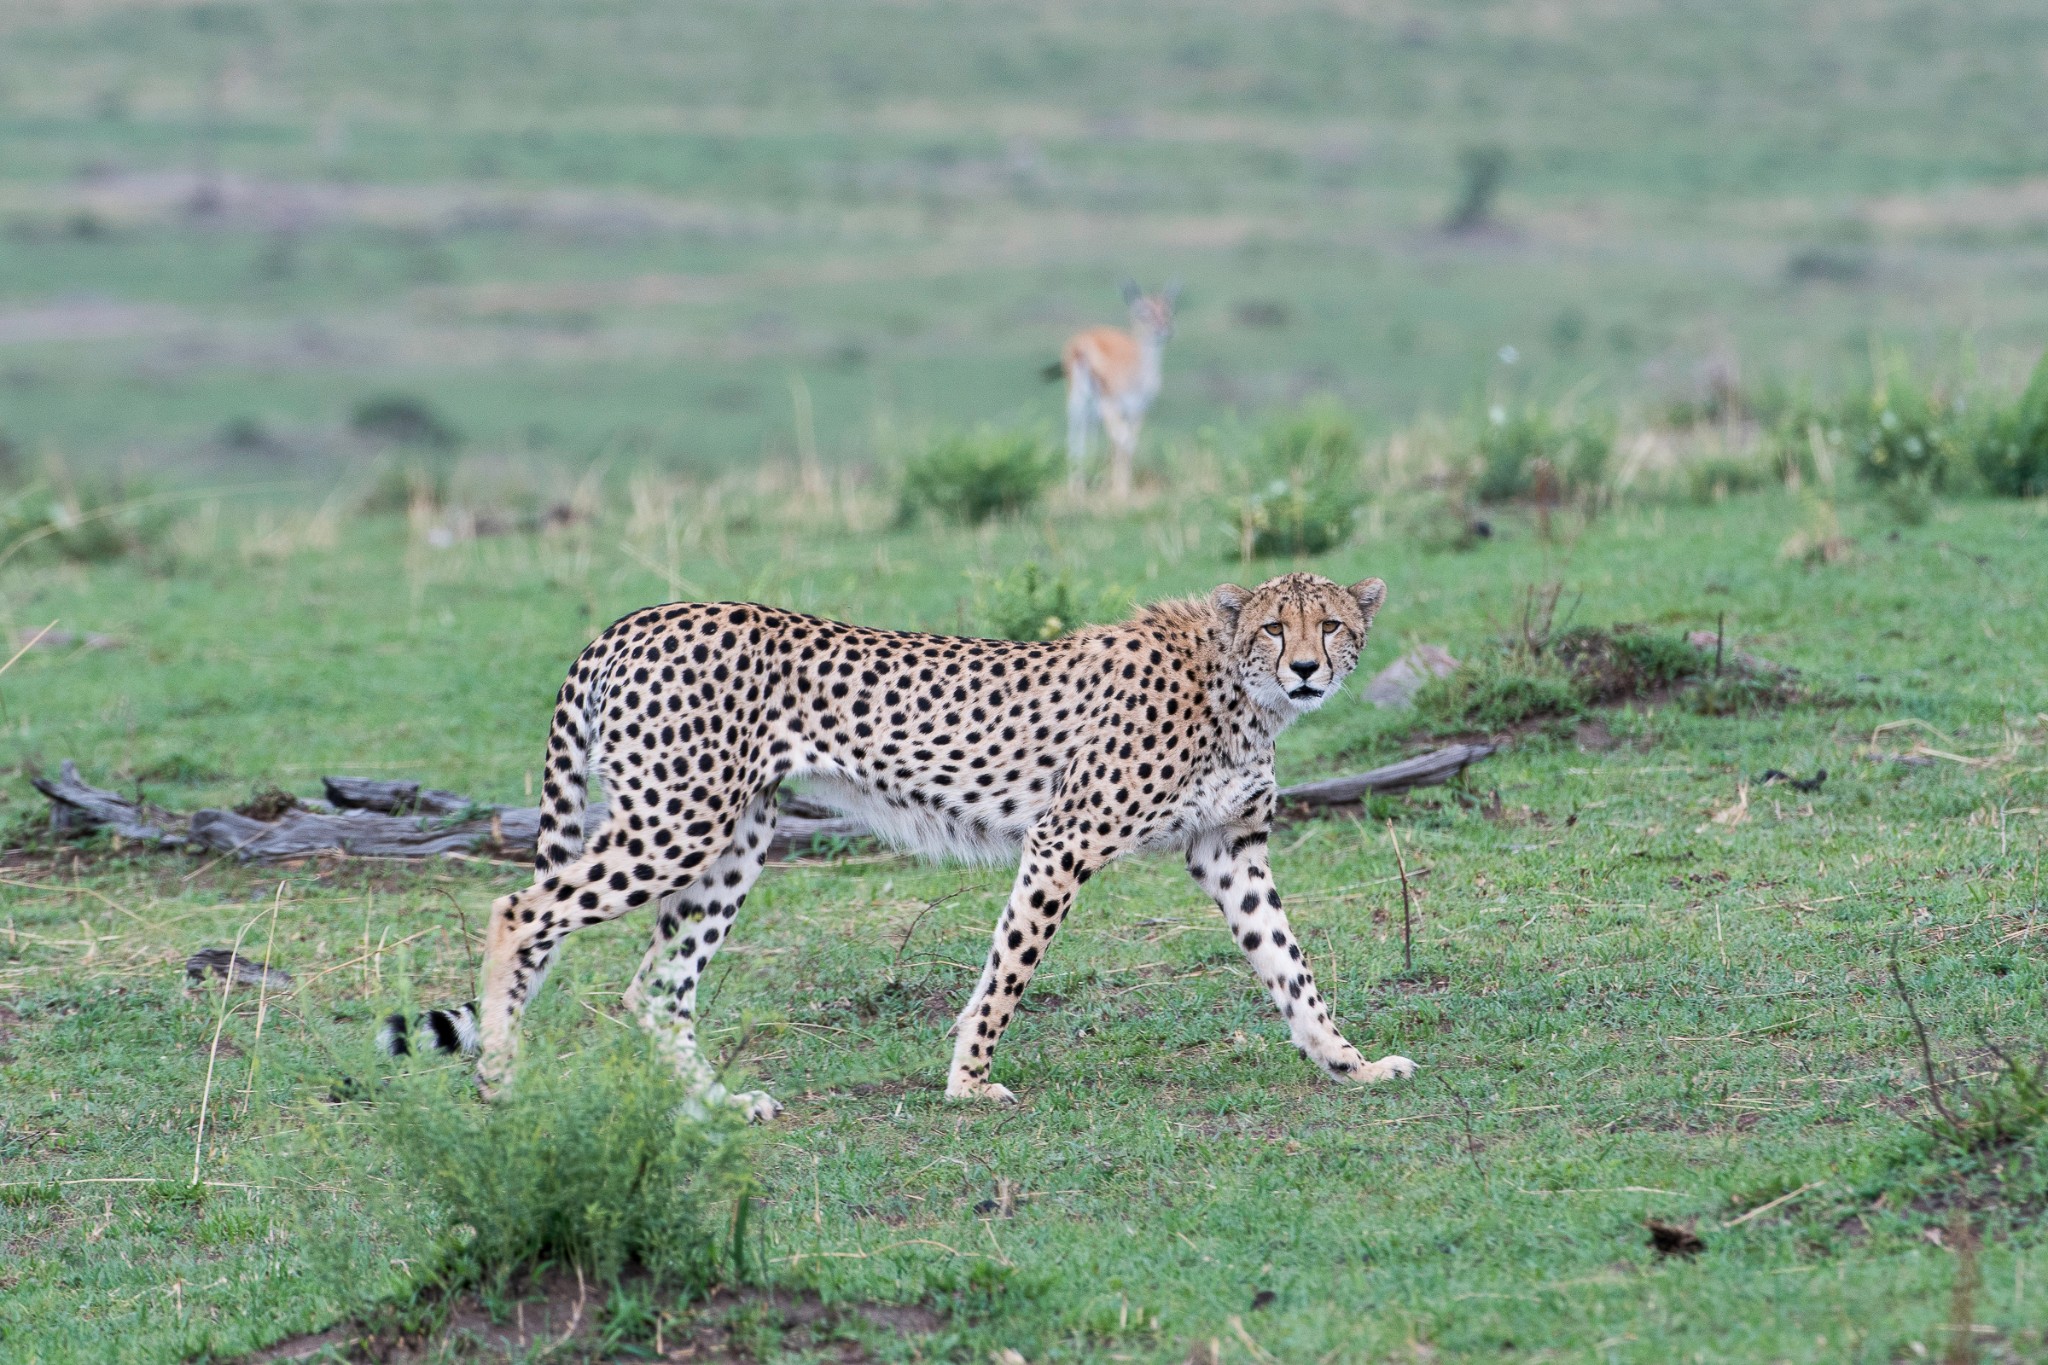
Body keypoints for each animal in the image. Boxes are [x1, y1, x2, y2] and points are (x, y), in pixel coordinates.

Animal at [399, 573, 1425, 1113]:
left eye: (1333, 623)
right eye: (1276, 625)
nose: (1306, 667)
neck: (1236, 688)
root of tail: (636, 617)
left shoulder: (1229, 849)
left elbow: (1290, 966)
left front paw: (1350, 1062)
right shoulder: (1062, 840)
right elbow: (1009, 969)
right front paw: (969, 1081)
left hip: (735, 835)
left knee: (653, 986)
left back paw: (714, 1105)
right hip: (674, 820)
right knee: (519, 907)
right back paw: (500, 1071)